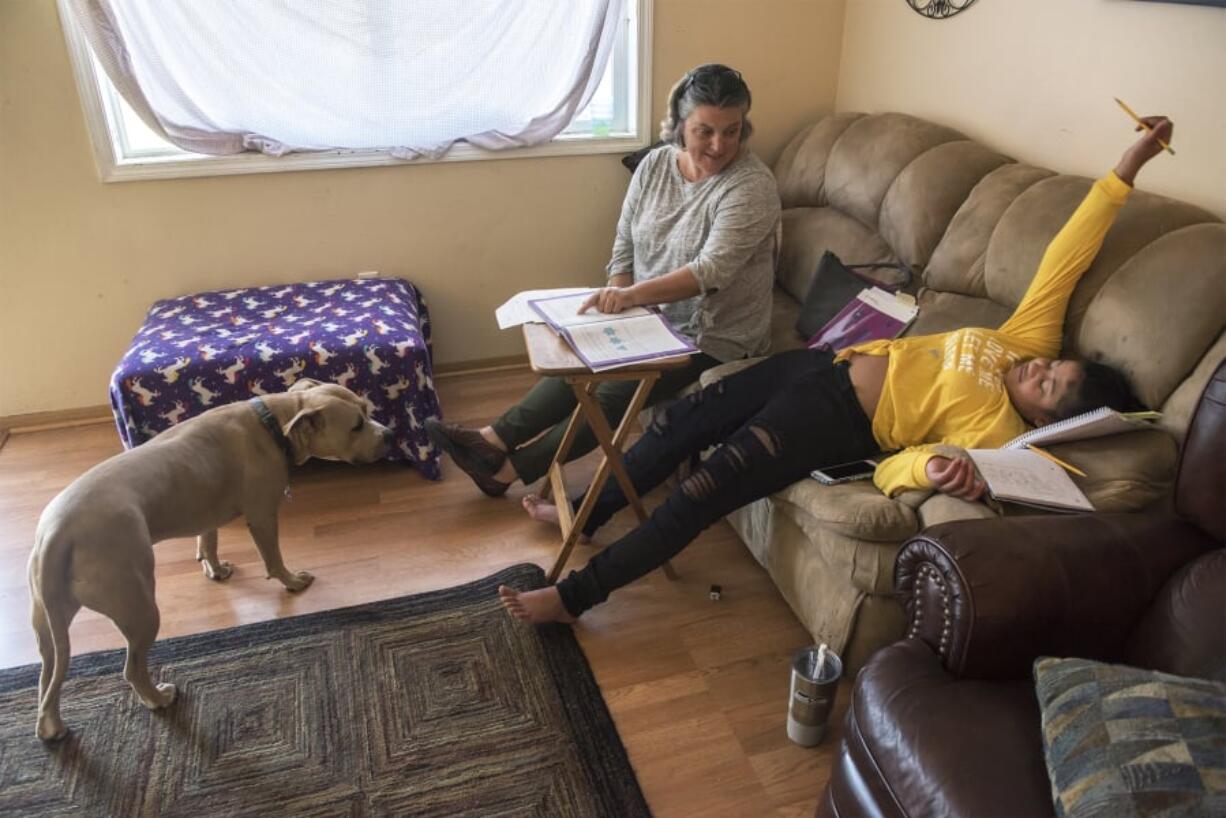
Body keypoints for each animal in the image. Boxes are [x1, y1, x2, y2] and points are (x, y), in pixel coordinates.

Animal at [27, 377, 392, 740]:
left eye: (367, 409)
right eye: (356, 425)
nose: (388, 434)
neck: (274, 422)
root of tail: (55, 535)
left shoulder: (207, 512)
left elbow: (209, 541)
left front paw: (215, 568)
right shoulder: (262, 516)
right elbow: (273, 557)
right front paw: (292, 581)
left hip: (47, 622)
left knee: (49, 673)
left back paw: (50, 724)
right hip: (139, 608)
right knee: (132, 669)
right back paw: (158, 698)